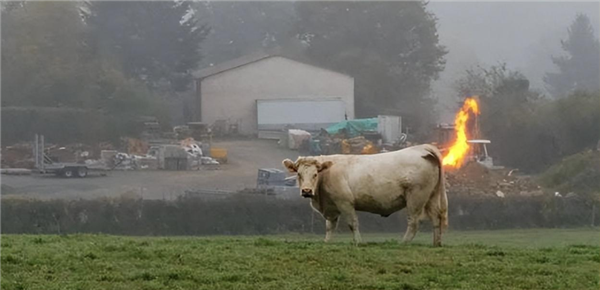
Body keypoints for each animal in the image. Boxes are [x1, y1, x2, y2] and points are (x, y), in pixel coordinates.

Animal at [284, 144, 448, 246]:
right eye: (298, 174)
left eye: (315, 174)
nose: (306, 191)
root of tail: (422, 148)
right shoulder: (331, 207)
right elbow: (330, 226)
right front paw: (327, 242)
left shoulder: (345, 203)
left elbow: (352, 223)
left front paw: (358, 242)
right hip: (431, 197)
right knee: (436, 218)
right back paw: (437, 243)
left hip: (416, 198)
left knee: (414, 222)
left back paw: (403, 243)